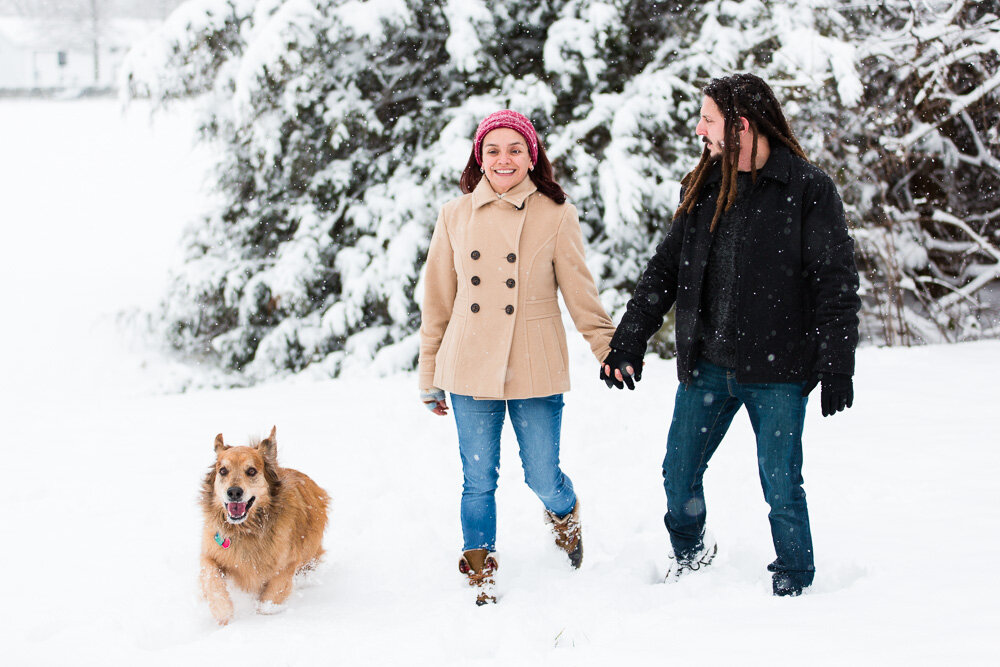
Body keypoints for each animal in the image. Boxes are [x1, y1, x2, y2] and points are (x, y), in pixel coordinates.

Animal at [198, 428, 328, 628]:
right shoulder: (210, 554)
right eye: (223, 471)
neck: (246, 530)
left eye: (251, 471)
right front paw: (223, 612)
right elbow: (212, 579)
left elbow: (270, 598)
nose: (234, 492)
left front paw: (263, 617)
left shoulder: (287, 564)